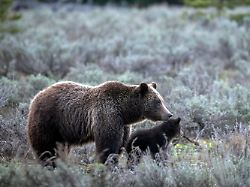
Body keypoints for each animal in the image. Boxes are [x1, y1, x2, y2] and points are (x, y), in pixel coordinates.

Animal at [26, 80, 172, 165]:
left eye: (162, 100)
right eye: (157, 102)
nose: (169, 114)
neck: (124, 111)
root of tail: (36, 96)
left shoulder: (123, 124)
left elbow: (120, 145)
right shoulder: (107, 115)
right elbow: (107, 144)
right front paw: (107, 163)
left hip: (61, 131)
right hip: (48, 120)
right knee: (45, 147)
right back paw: (48, 163)